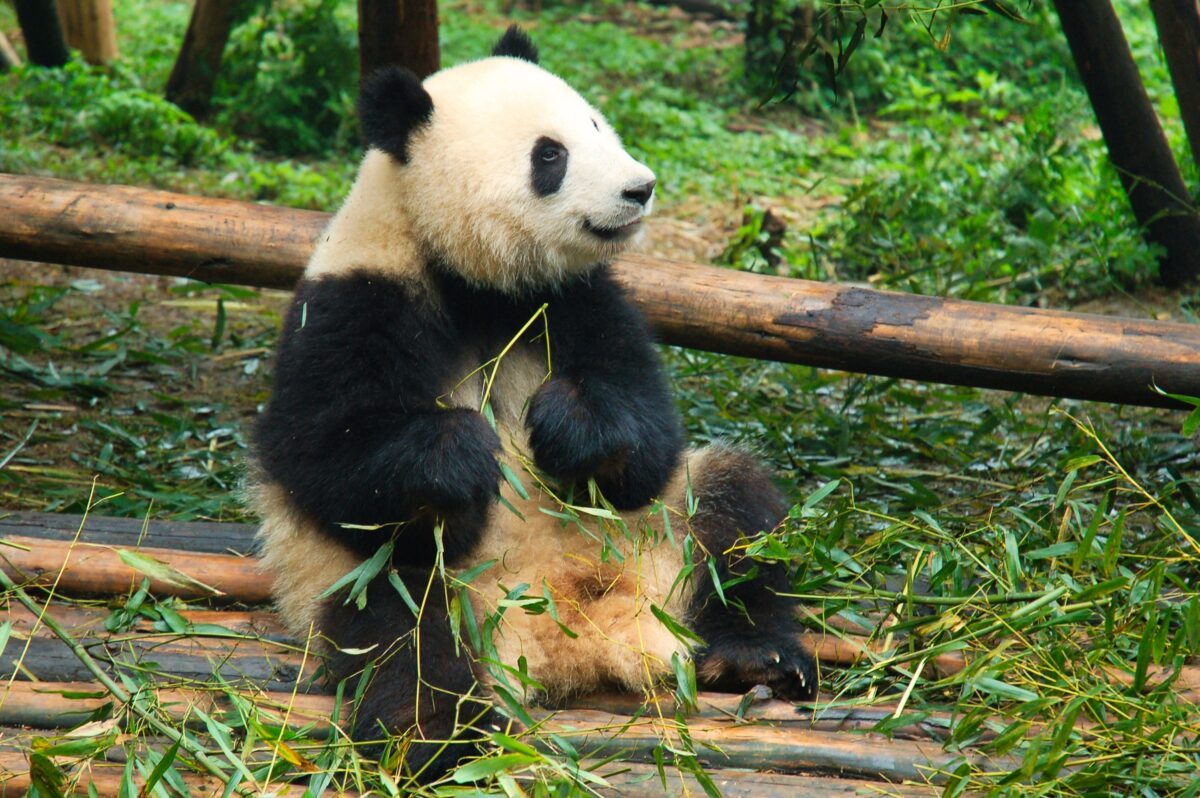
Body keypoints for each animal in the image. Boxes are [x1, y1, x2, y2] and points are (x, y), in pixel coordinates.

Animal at [249, 26, 817, 781]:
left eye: (597, 124)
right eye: (550, 155)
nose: (639, 187)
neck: (478, 283)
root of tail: (572, 637)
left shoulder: (583, 299)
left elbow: (648, 426)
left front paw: (571, 425)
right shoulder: (353, 301)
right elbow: (320, 455)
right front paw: (459, 450)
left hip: (669, 526)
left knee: (736, 513)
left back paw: (757, 655)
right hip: (386, 581)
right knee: (402, 620)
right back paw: (436, 738)